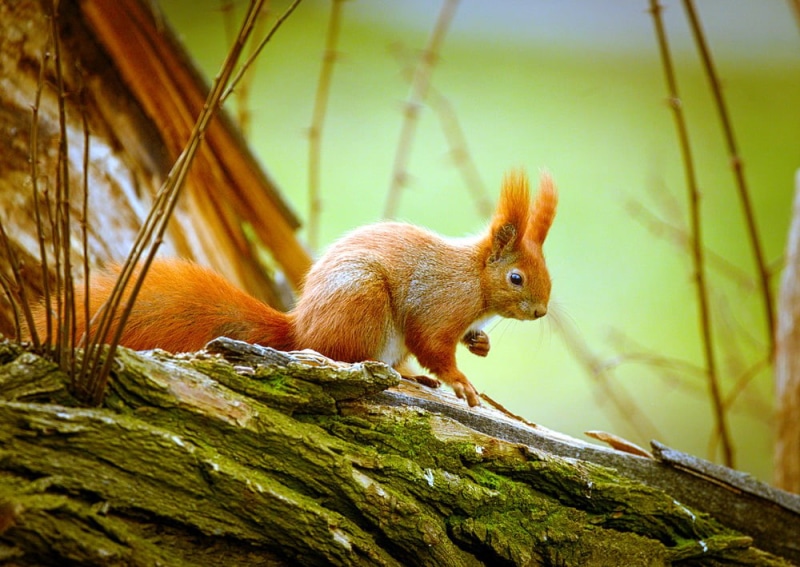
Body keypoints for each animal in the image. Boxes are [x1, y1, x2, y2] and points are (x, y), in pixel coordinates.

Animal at [33, 169, 557, 407]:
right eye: (516, 278)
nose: (540, 312)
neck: (475, 281)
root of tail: (300, 331)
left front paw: (481, 343)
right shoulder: (439, 304)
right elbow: (432, 344)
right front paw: (460, 381)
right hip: (363, 307)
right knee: (348, 357)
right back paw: (406, 377)